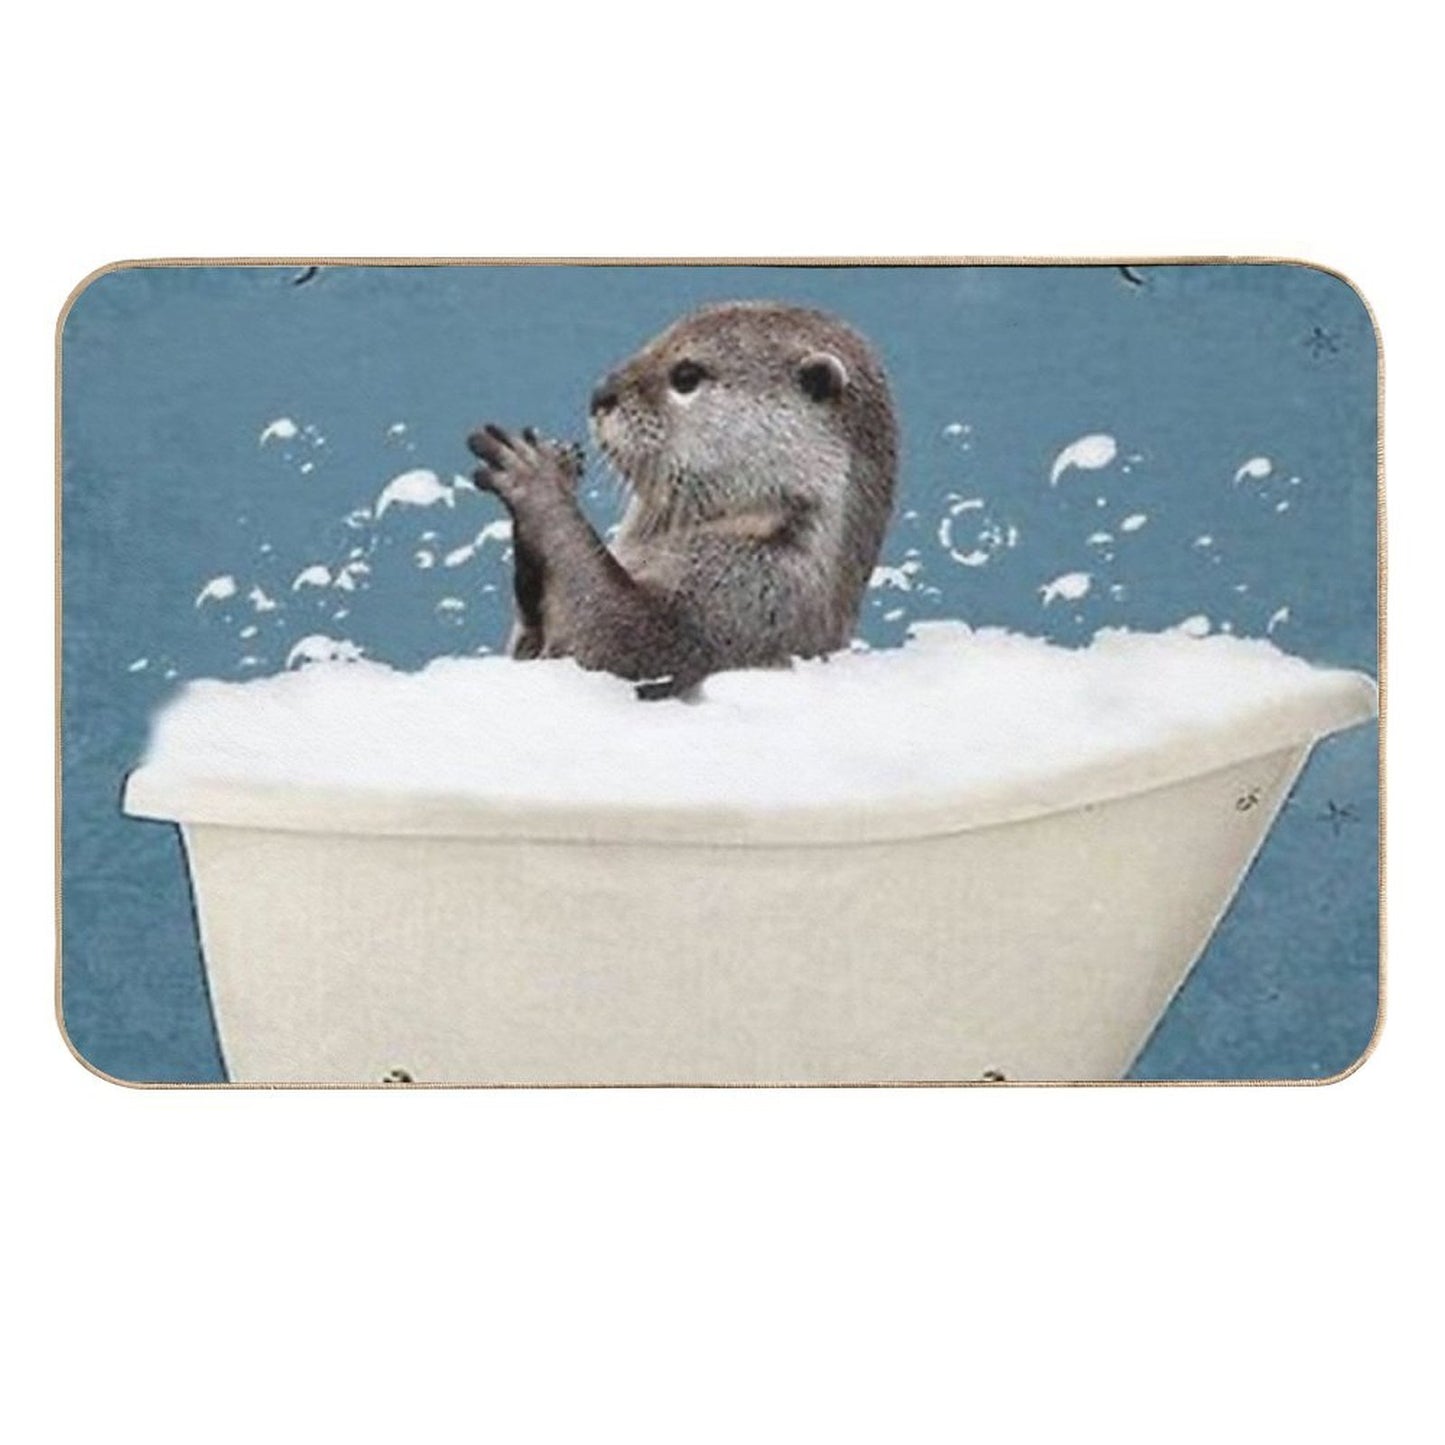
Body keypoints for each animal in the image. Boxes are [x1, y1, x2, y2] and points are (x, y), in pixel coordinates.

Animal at [467, 301, 898, 697]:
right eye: (652, 343)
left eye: (687, 375)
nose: (600, 393)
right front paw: (561, 459)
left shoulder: (752, 598)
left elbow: (622, 648)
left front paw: (536, 477)